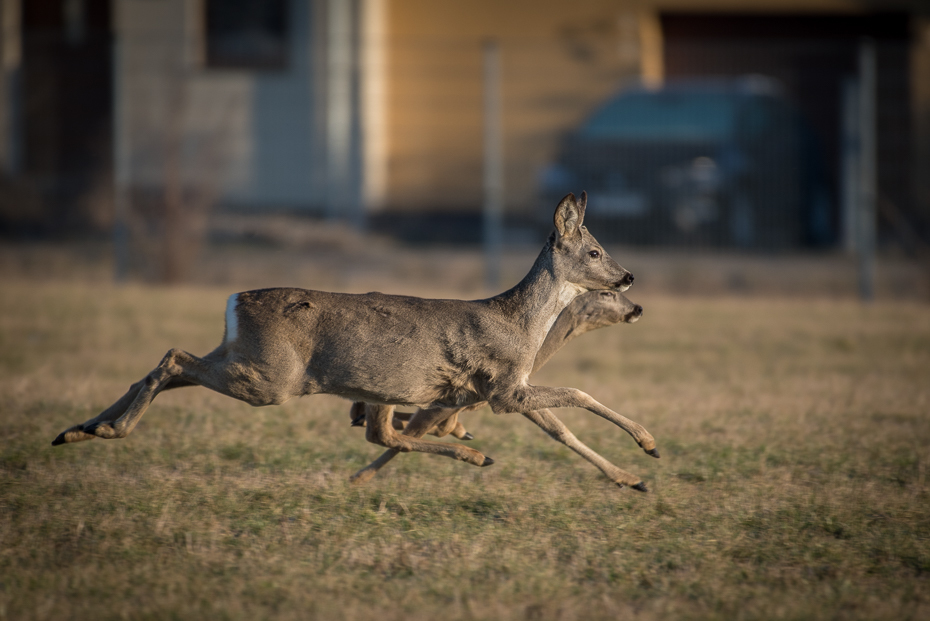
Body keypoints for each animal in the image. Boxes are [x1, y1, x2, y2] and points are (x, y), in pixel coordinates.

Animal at [348, 288, 644, 486]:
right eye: (607, 293)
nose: (638, 308)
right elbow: (417, 431)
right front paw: (358, 477)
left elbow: (559, 430)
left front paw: (632, 478)